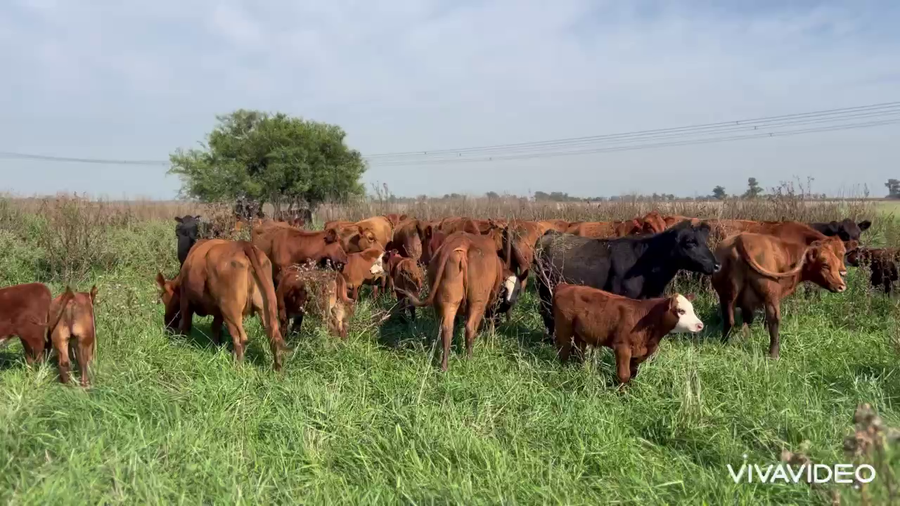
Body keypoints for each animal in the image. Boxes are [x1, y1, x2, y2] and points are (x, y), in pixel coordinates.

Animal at [155, 239, 287, 371]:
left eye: (164, 299)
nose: (167, 323)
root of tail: (243, 245)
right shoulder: (219, 312)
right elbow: (215, 328)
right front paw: (216, 348)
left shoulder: (185, 300)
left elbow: (186, 325)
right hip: (266, 306)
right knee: (274, 336)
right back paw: (277, 370)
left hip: (230, 309)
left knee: (240, 338)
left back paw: (237, 367)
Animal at [397, 232, 520, 371]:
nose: (510, 303)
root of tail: (461, 243)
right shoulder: (491, 303)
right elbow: (491, 321)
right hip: (477, 302)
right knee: (470, 328)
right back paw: (469, 360)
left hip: (446, 302)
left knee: (445, 328)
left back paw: (444, 364)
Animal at [534, 221, 719, 335]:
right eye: (690, 242)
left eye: (704, 241)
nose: (717, 265)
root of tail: (550, 233)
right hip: (545, 289)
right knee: (547, 313)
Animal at [552, 284, 703, 385]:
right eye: (681, 311)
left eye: (692, 309)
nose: (700, 325)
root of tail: (564, 285)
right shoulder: (622, 347)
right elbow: (624, 374)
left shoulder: (641, 351)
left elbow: (633, 374)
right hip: (563, 328)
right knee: (564, 350)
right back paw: (563, 371)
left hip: (580, 334)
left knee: (579, 352)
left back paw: (580, 369)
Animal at [712, 233, 850, 359]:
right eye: (825, 265)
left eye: (837, 261)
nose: (842, 286)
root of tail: (741, 238)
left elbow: (747, 322)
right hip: (770, 297)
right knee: (774, 321)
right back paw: (774, 355)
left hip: (727, 296)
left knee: (729, 320)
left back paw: (724, 344)